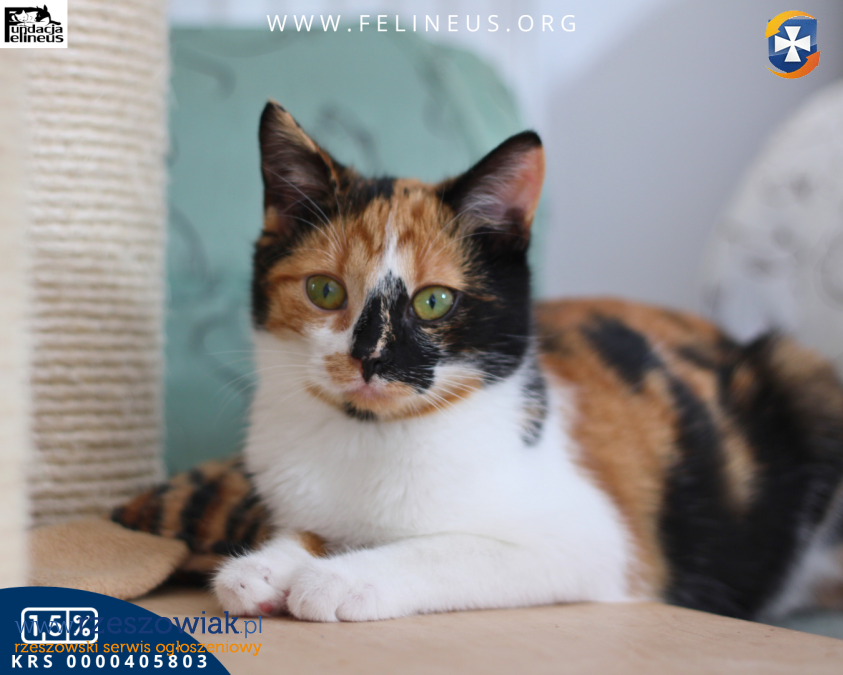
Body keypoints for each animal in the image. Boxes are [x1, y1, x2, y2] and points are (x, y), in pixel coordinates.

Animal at [128, 101, 843, 623]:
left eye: (434, 301)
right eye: (325, 291)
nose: (371, 359)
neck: (371, 438)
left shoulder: (593, 544)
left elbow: (444, 549)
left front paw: (336, 579)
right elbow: (312, 526)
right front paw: (268, 563)